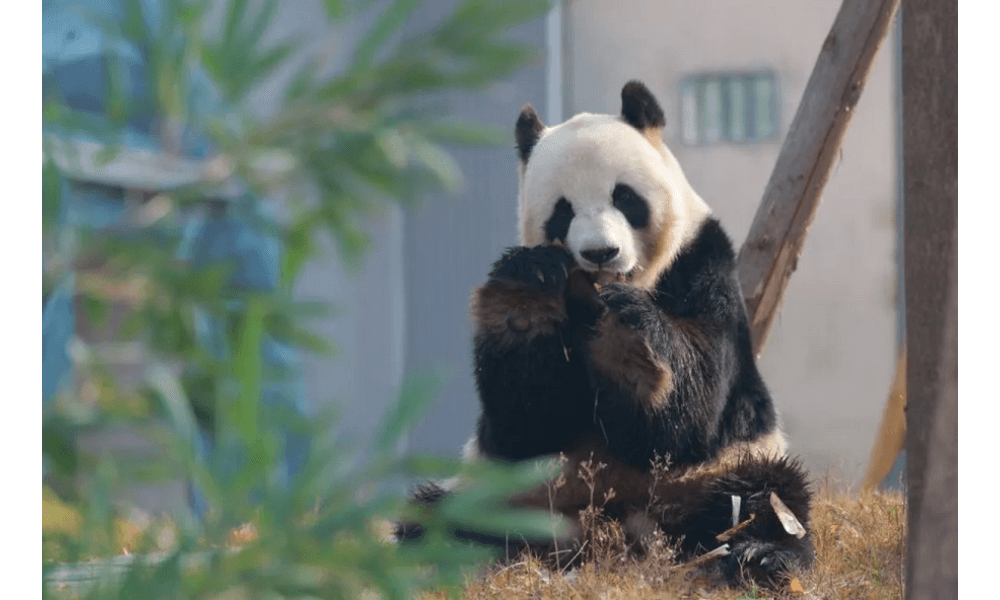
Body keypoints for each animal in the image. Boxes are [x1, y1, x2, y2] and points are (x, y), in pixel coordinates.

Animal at [397, 80, 814, 588]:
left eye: (625, 198)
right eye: (562, 211)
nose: (601, 253)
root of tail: (607, 530)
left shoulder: (703, 263)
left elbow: (696, 403)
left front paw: (629, 344)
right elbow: (524, 423)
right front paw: (526, 300)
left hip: (717, 470)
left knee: (763, 498)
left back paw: (760, 556)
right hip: (507, 490)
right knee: (440, 518)